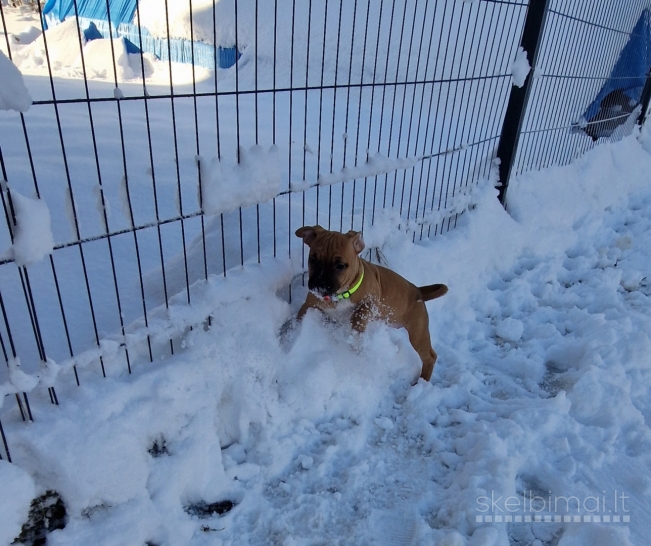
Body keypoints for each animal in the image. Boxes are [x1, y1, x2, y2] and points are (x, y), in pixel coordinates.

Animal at [296, 223, 448, 380]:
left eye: (340, 265)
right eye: (312, 259)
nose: (319, 284)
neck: (339, 295)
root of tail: (419, 291)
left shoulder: (372, 301)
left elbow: (358, 314)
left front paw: (355, 336)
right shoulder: (309, 305)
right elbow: (301, 316)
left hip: (418, 332)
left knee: (430, 356)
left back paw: (422, 380)